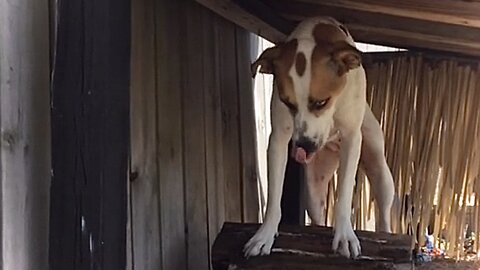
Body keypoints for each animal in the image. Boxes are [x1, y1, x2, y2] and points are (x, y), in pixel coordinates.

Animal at [244, 17, 394, 260]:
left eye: (321, 102)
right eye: (288, 102)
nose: (304, 146)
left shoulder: (352, 138)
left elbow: (344, 196)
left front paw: (345, 236)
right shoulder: (278, 140)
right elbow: (274, 196)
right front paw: (264, 235)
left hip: (380, 170)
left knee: (385, 211)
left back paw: (387, 234)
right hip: (314, 190)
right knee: (318, 215)